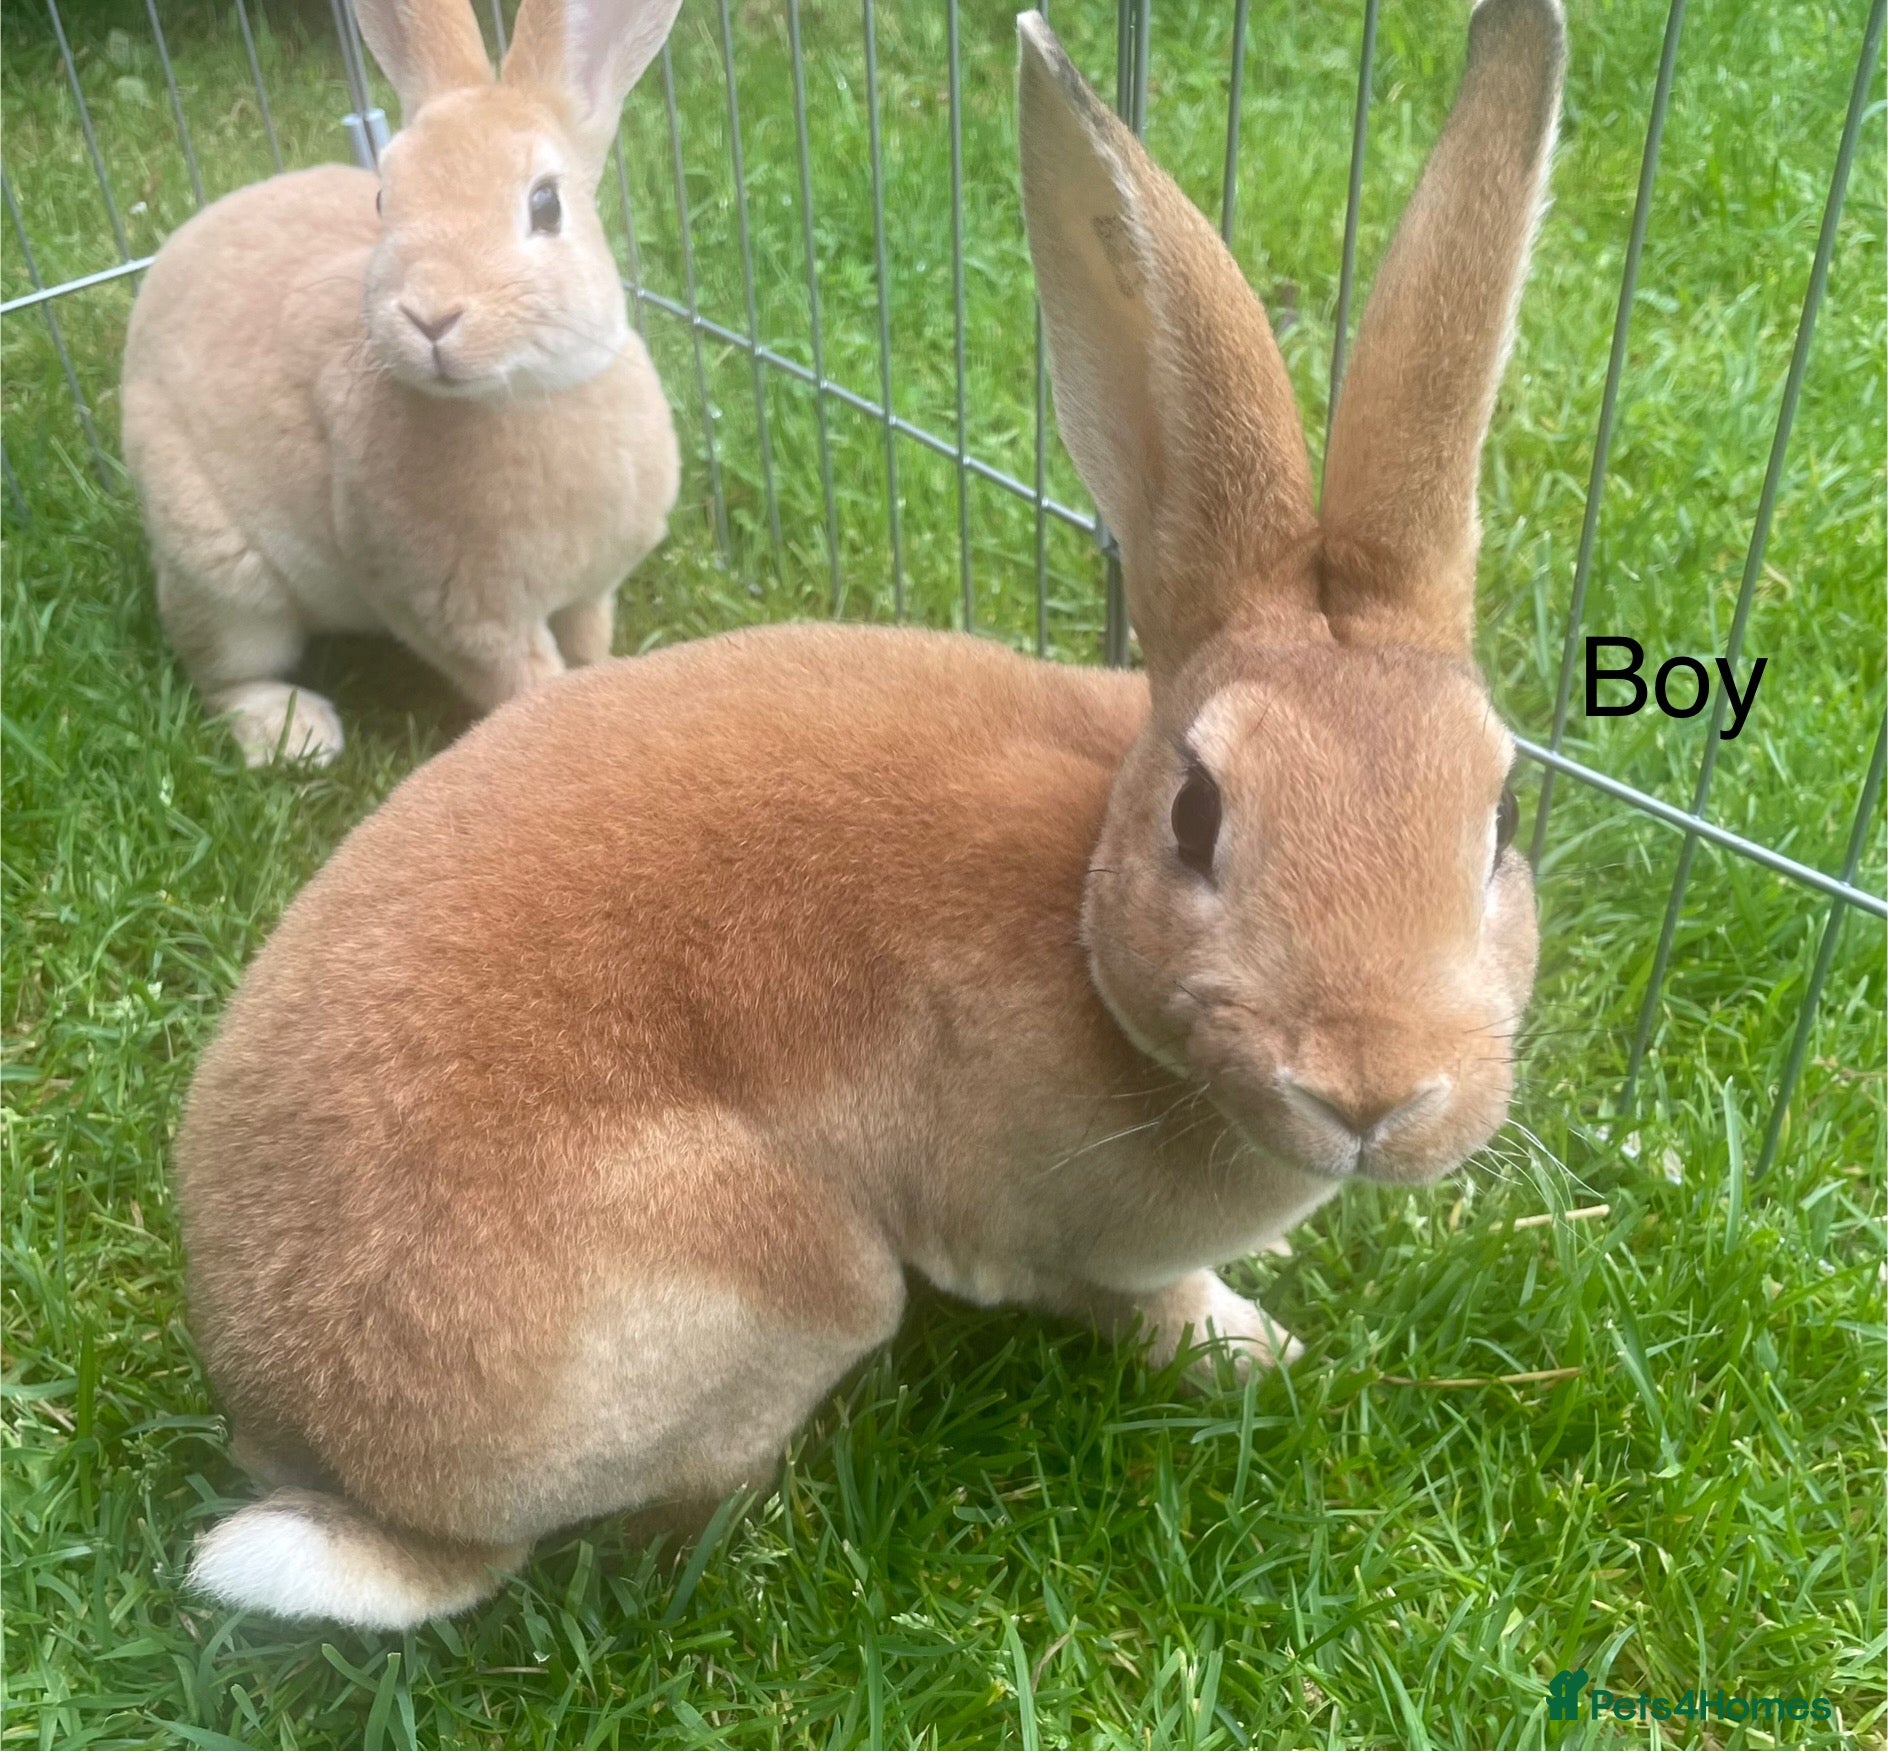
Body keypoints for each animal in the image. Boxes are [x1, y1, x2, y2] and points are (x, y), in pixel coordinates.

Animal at [120, 0, 684, 768]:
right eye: (386, 199)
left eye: (546, 206)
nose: (431, 315)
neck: (532, 393)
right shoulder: (467, 619)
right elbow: (525, 685)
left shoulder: (590, 594)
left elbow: (589, 645)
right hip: (224, 576)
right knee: (224, 671)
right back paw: (293, 734)